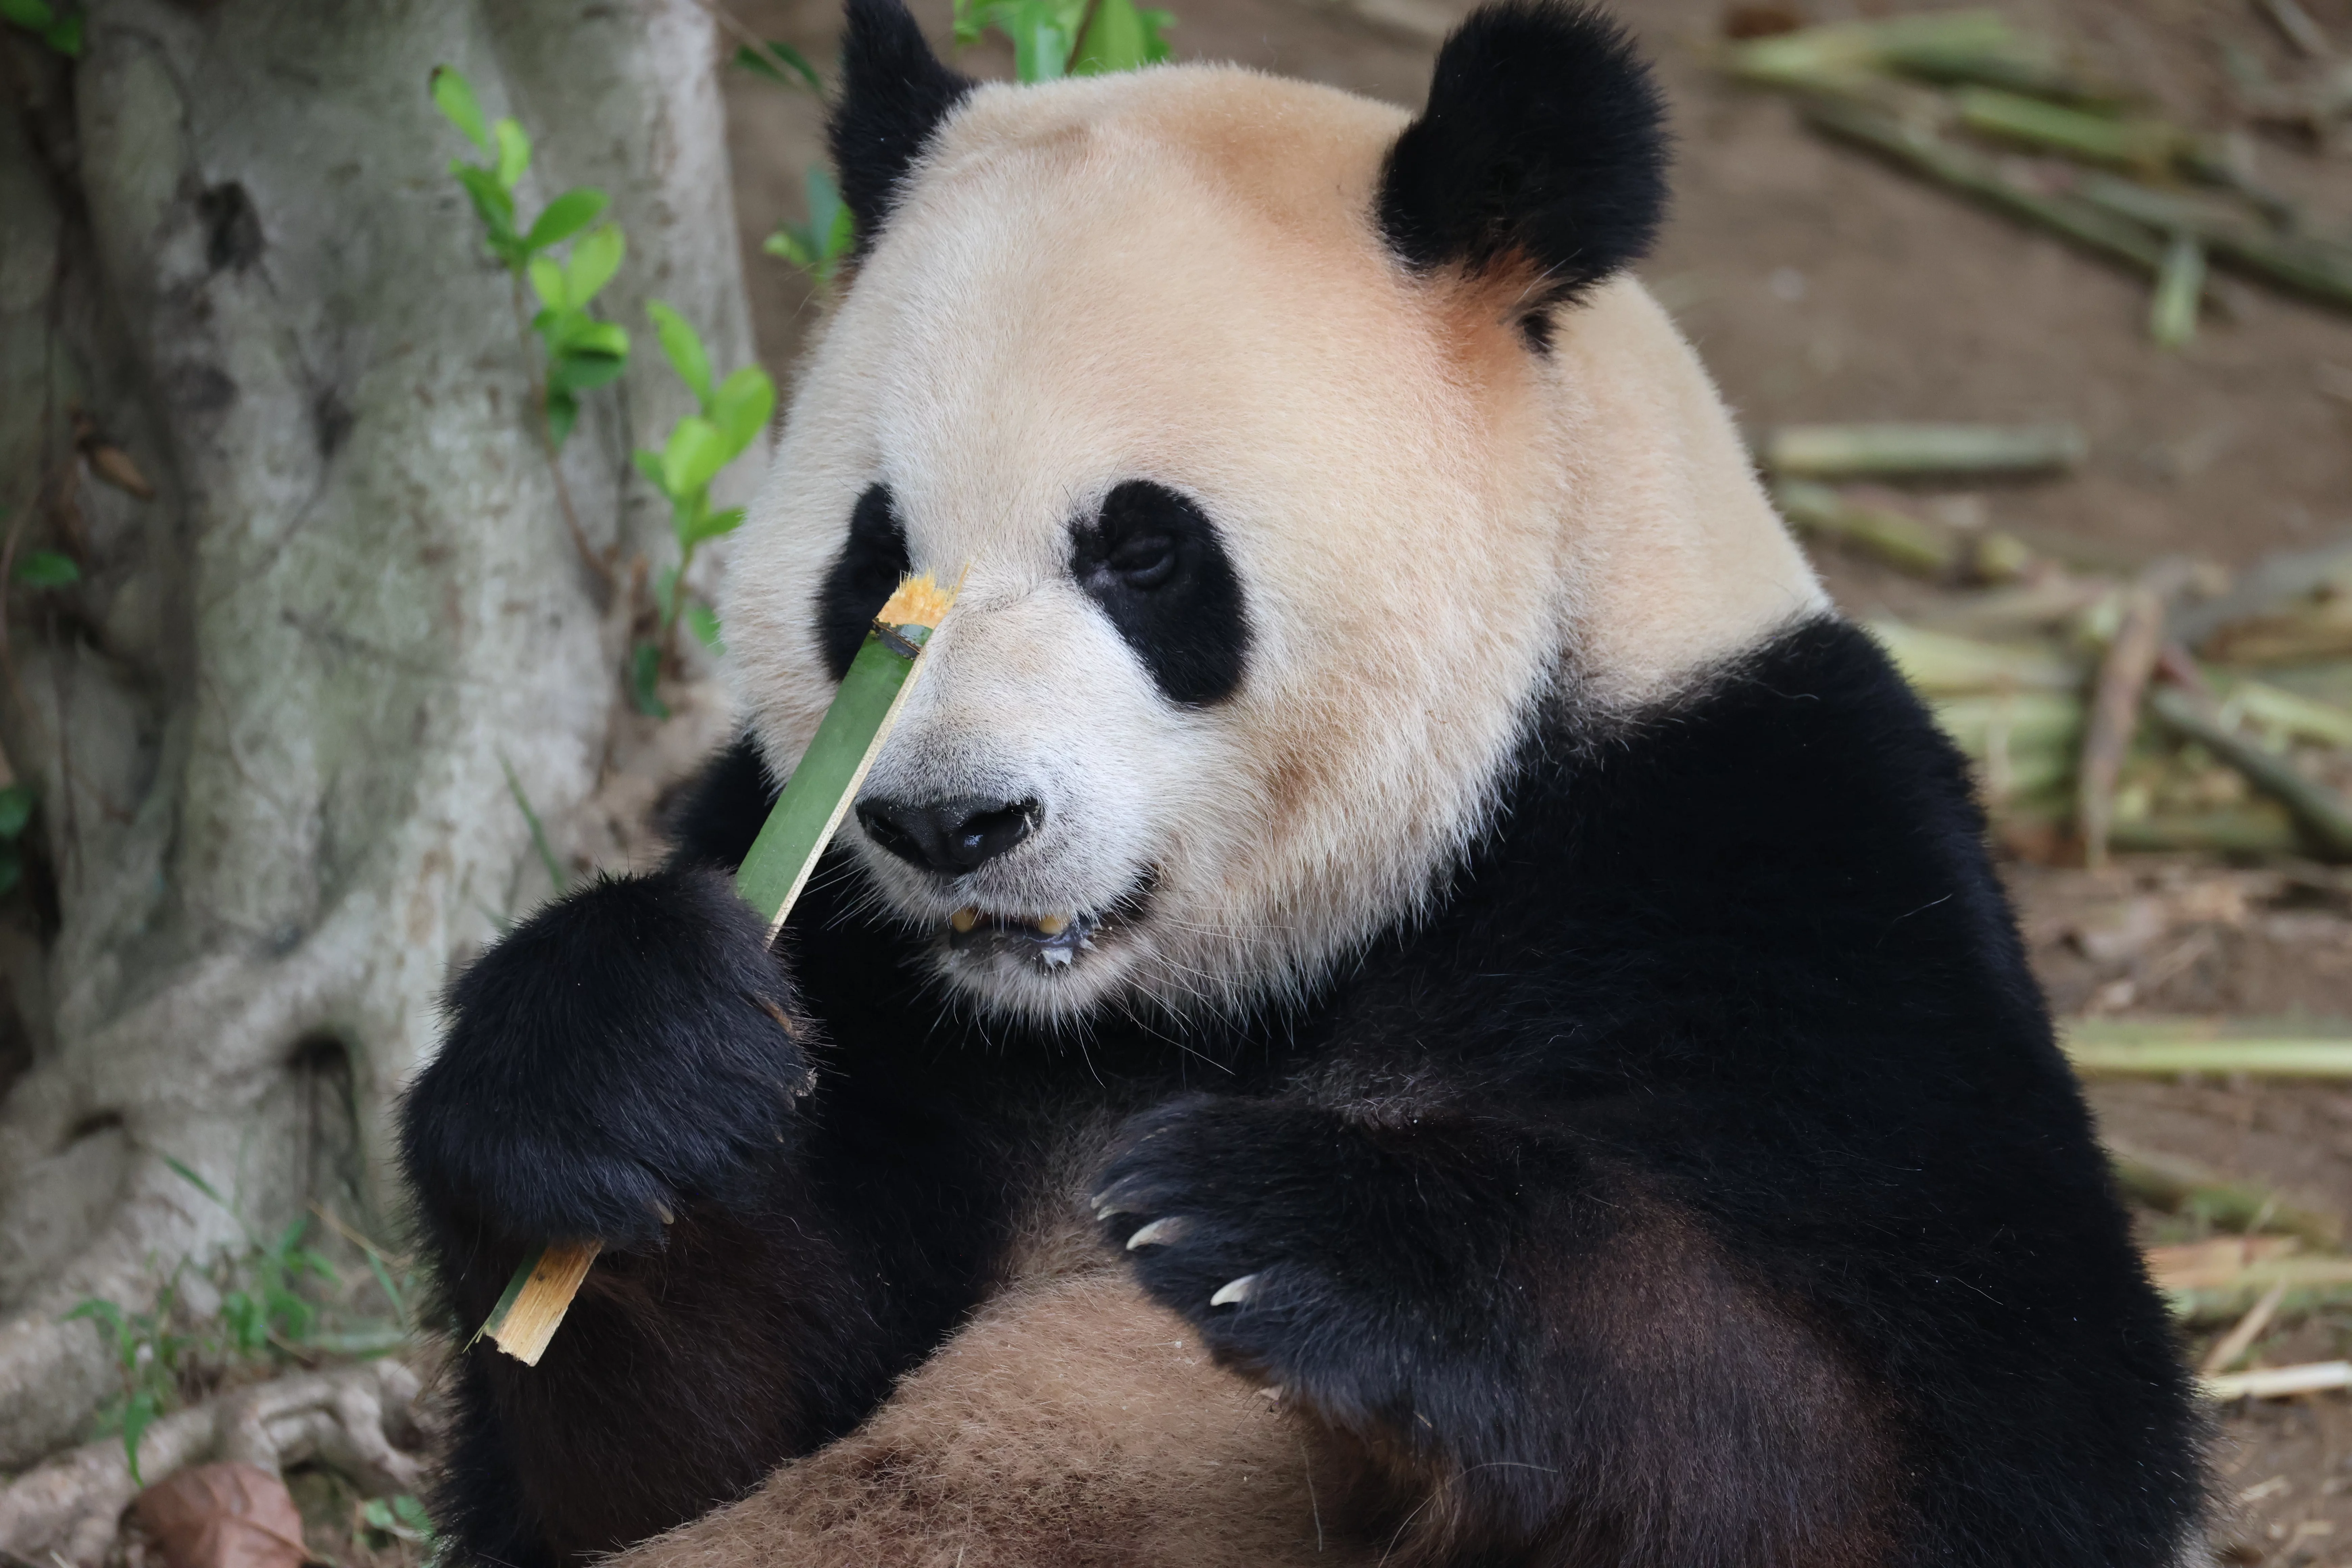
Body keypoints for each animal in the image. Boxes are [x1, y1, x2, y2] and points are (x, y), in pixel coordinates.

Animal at [398, 1, 2209, 1563]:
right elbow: (642, 1462)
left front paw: (1286, 1230)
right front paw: (628, 1061)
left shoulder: (1772, 875)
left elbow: (1976, 1447)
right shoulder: (864, 967)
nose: (952, 824)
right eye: (877, 560)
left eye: (1143, 554)